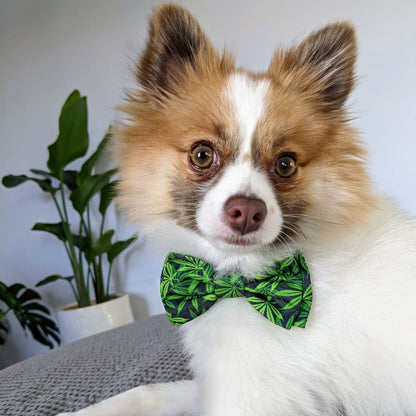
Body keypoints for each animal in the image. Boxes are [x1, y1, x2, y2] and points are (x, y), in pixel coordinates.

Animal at [58, 4, 416, 416]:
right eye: (202, 154)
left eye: (285, 165)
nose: (246, 211)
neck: (237, 281)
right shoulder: (219, 382)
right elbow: (150, 390)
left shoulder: (246, 399)